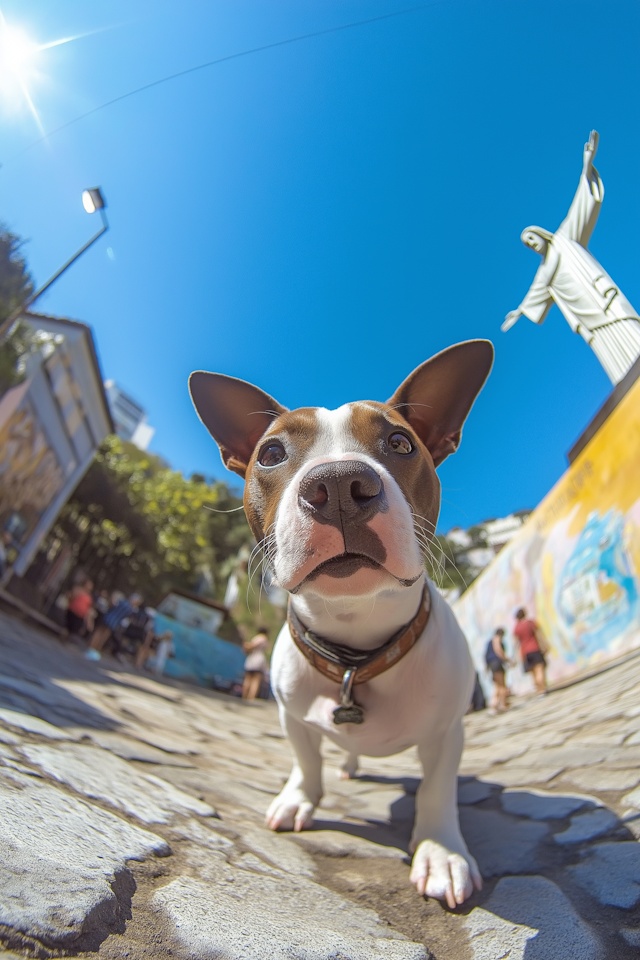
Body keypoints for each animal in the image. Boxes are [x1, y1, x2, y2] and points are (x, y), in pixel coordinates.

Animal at [190, 342, 496, 912]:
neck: (357, 644)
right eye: (270, 454)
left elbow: (437, 788)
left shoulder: (447, 732)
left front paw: (441, 850)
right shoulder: (292, 716)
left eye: (400, 442)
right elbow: (305, 762)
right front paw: (298, 799)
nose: (335, 484)